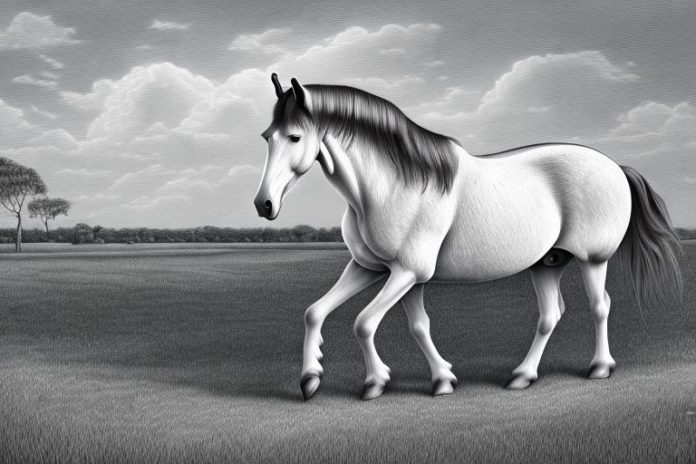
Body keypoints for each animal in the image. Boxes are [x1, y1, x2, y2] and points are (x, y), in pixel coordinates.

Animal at [254, 73, 682, 401]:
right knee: (550, 315)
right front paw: (312, 379)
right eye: (267, 136)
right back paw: (521, 376)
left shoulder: (405, 273)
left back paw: (599, 368)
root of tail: (615, 166)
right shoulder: (378, 270)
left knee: (600, 306)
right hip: (548, 262)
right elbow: (324, 314)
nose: (264, 204)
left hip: (594, 260)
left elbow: (363, 323)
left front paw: (375, 383)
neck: (390, 187)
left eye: (294, 137)